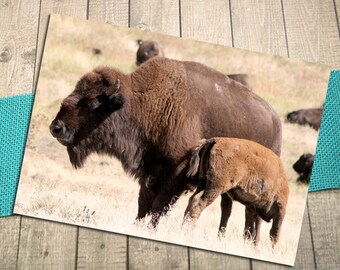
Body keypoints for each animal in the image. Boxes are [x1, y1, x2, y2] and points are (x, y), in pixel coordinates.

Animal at [48, 57, 282, 228]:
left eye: (92, 102)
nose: (56, 127)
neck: (145, 103)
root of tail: (276, 121)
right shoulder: (151, 170)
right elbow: (144, 202)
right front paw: (137, 225)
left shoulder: (177, 171)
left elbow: (159, 204)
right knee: (233, 209)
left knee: (252, 215)